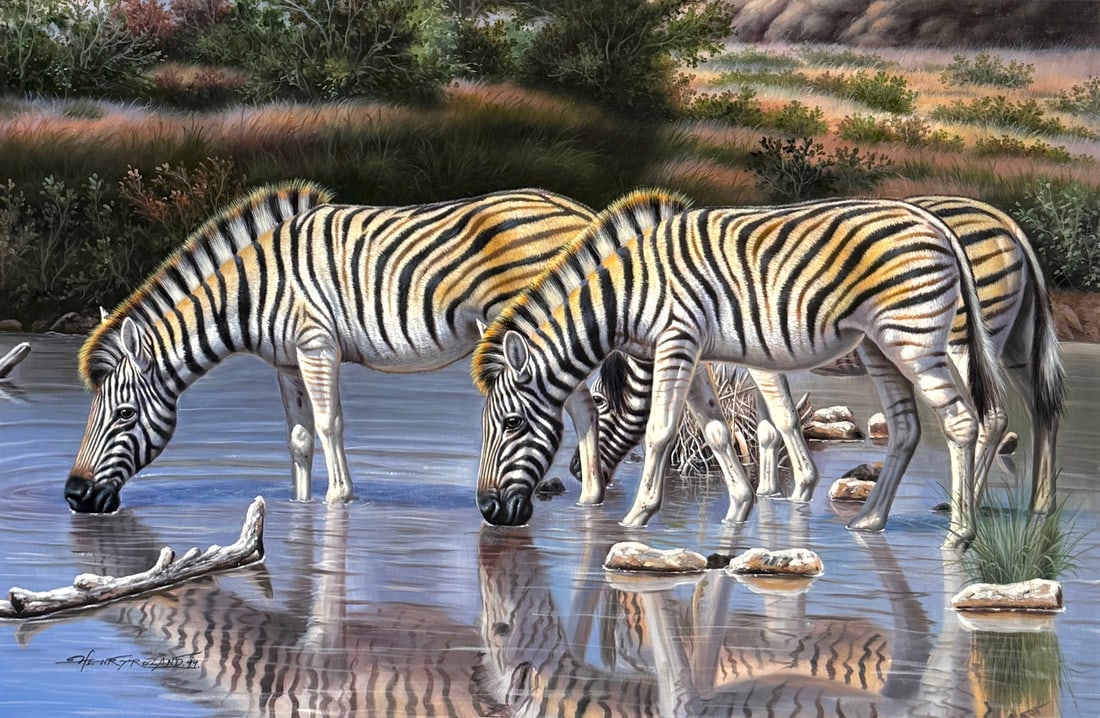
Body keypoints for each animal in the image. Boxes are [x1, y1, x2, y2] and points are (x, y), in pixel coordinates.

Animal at [65, 185, 602, 514]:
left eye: (124, 415)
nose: (74, 495)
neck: (253, 291)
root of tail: (580, 210)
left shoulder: (316, 345)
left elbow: (329, 424)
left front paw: (338, 498)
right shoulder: (285, 363)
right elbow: (299, 438)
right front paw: (299, 505)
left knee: (581, 404)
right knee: (584, 406)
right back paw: (591, 499)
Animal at [471, 198, 1003, 548]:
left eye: (512, 423)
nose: (490, 512)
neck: (625, 298)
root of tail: (935, 221)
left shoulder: (677, 341)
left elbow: (661, 430)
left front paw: (637, 515)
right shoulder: (691, 352)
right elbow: (716, 430)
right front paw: (741, 506)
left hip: (915, 338)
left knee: (960, 421)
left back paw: (959, 535)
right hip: (879, 345)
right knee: (906, 427)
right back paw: (870, 522)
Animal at [578, 195, 1065, 515]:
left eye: (601, 402)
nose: (575, 472)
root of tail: (1009, 223)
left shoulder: (753, 358)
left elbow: (780, 420)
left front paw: (793, 490)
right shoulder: (760, 354)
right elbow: (767, 426)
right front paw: (772, 490)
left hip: (963, 340)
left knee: (993, 416)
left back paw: (967, 506)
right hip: (1014, 344)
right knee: (1042, 410)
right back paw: (1040, 506)